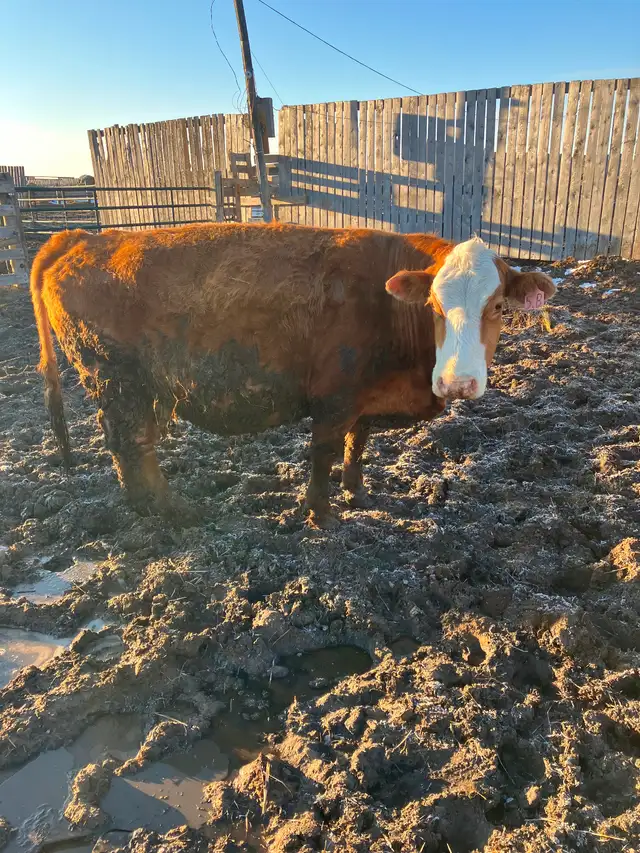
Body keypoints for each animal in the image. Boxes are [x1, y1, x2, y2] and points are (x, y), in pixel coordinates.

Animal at [30, 223, 555, 528]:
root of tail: (83, 236)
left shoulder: (364, 398)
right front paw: (321, 513)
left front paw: (357, 492)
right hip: (116, 379)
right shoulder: (332, 396)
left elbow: (357, 443)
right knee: (131, 444)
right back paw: (166, 509)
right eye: (433, 305)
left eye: (498, 306)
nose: (457, 381)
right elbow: (324, 452)